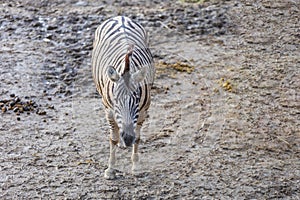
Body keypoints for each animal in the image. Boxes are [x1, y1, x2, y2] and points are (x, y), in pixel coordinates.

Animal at [91, 16, 155, 180]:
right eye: (115, 100)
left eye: (137, 100)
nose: (127, 139)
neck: (127, 66)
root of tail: (120, 17)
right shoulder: (109, 111)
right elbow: (112, 138)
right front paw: (110, 169)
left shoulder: (143, 111)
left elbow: (137, 138)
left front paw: (136, 167)